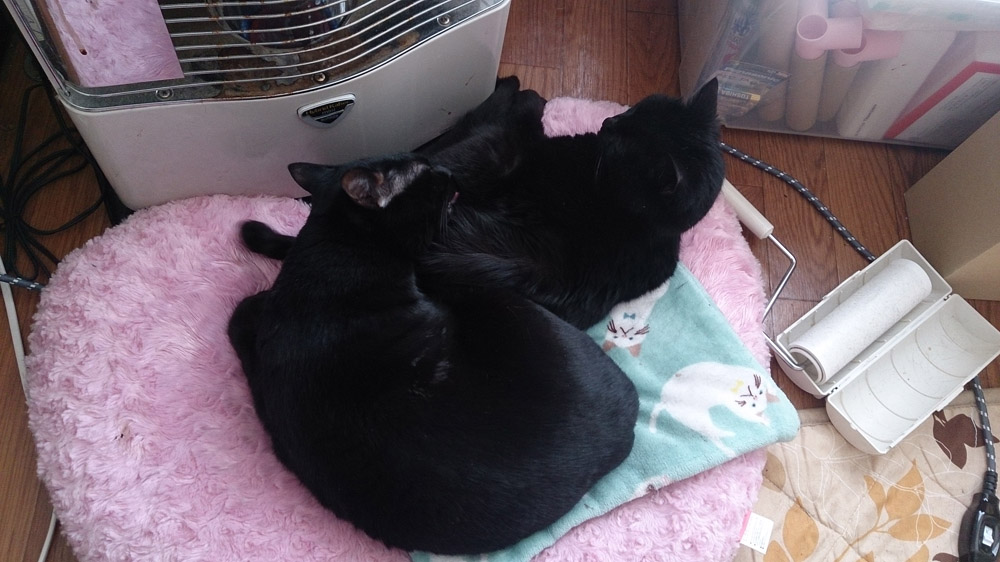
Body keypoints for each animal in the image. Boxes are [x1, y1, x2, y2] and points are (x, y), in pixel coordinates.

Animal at [227, 154, 639, 555]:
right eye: (423, 172)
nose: (446, 169)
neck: (330, 254)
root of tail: (625, 430)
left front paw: (255, 233)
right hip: (489, 294)